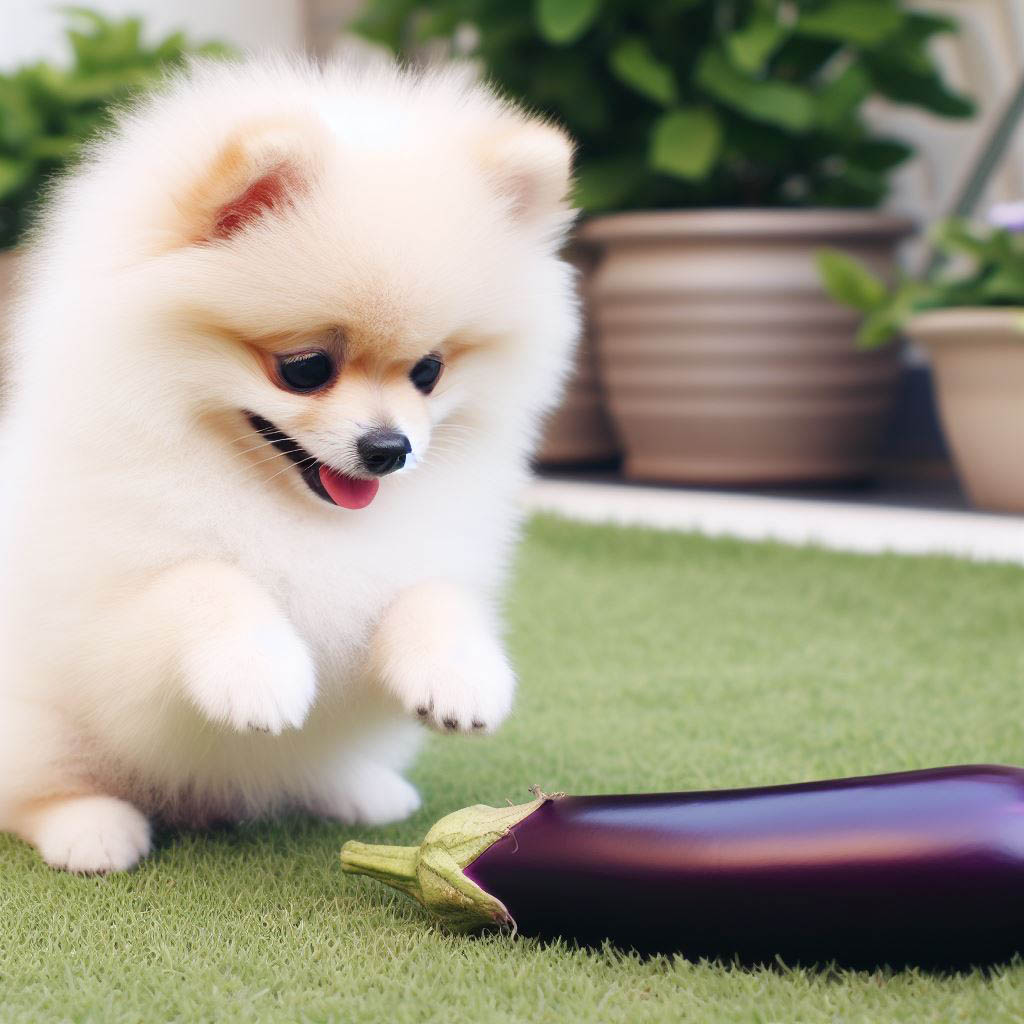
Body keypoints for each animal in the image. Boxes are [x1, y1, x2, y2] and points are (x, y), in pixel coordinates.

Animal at [0, 57, 578, 873]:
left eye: (428, 372)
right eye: (305, 369)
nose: (389, 449)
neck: (283, 505)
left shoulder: (401, 573)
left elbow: (428, 593)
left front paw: (462, 672)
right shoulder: (110, 637)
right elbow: (202, 580)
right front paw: (259, 669)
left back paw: (359, 788)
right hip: (37, 724)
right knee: (37, 788)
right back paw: (90, 827)